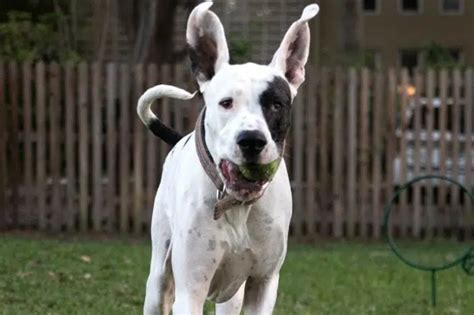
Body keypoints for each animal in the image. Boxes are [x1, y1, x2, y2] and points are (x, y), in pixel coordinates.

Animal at [137, 1, 320, 314]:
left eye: (276, 104)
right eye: (226, 103)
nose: (251, 140)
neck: (236, 205)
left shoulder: (263, 284)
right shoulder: (191, 290)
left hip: (231, 295)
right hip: (158, 281)